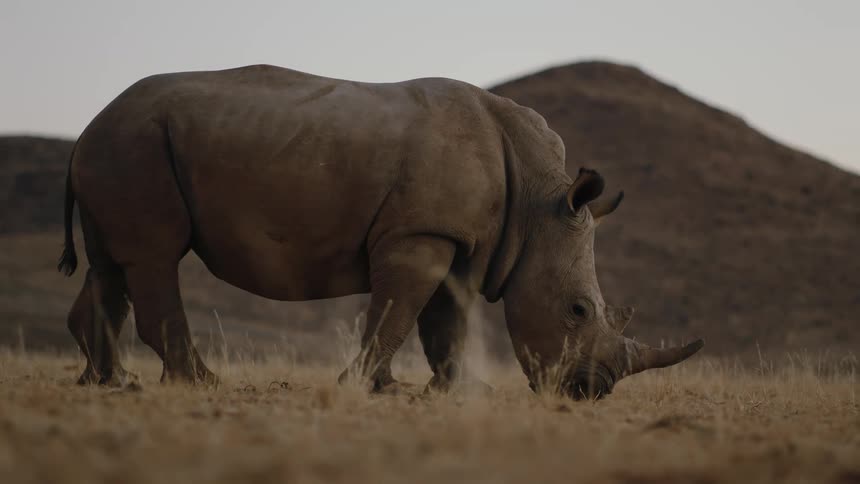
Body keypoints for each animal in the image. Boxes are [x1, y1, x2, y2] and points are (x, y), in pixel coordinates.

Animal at [58, 64, 703, 398]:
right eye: (577, 311)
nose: (592, 391)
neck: (537, 203)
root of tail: (87, 125)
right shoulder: (420, 234)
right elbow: (397, 311)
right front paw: (361, 385)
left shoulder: (456, 240)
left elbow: (442, 320)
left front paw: (445, 392)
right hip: (135, 143)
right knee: (154, 256)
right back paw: (199, 383)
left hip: (123, 145)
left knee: (111, 262)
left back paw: (108, 383)